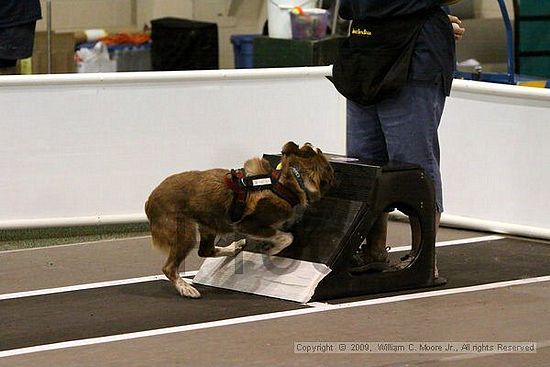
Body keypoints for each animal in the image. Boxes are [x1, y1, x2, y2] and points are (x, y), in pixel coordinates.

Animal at [146, 142, 336, 300]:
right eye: (330, 170)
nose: (336, 180)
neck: (287, 181)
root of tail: (149, 200)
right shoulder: (247, 225)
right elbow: (287, 236)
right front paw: (273, 249)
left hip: (209, 225)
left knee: (205, 251)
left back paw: (234, 247)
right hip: (185, 233)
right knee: (169, 267)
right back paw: (186, 288)